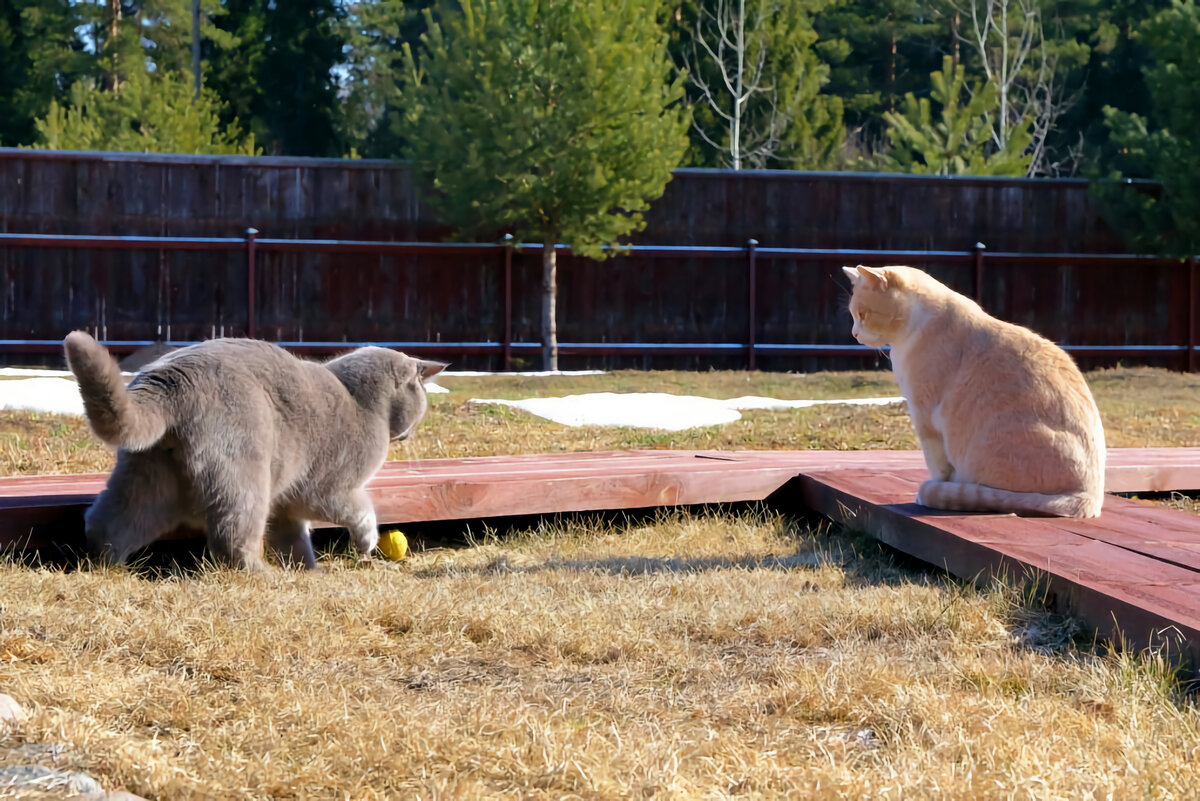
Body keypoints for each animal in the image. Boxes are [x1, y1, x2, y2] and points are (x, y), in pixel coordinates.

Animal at [63, 330, 446, 568]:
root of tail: (170, 379)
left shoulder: (288, 503)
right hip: (245, 473)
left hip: (148, 477)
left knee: (107, 521)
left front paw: (307, 571)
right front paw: (365, 543)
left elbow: (294, 539)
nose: (409, 434)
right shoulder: (327, 489)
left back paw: (106, 564)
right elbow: (360, 509)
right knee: (232, 538)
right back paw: (264, 576)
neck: (364, 404)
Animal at [844, 266, 1104, 515]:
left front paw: (938, 487)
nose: (854, 333)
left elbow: (937, 466)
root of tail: (1090, 497)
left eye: (862, 315)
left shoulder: (924, 418)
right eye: (854, 316)